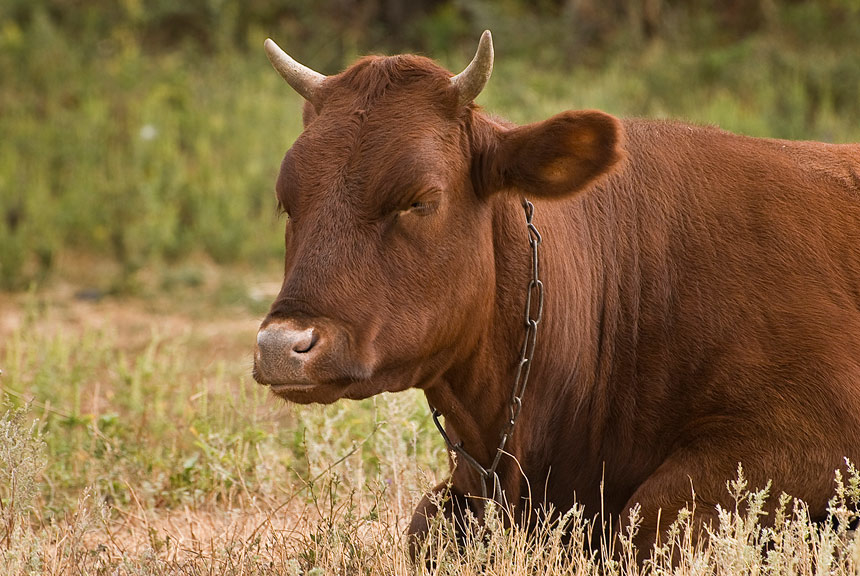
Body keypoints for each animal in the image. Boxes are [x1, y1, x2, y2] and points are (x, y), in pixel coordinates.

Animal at [254, 31, 860, 552]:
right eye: (287, 202)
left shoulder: (807, 439)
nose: (281, 347)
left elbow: (651, 521)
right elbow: (426, 526)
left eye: (420, 199)